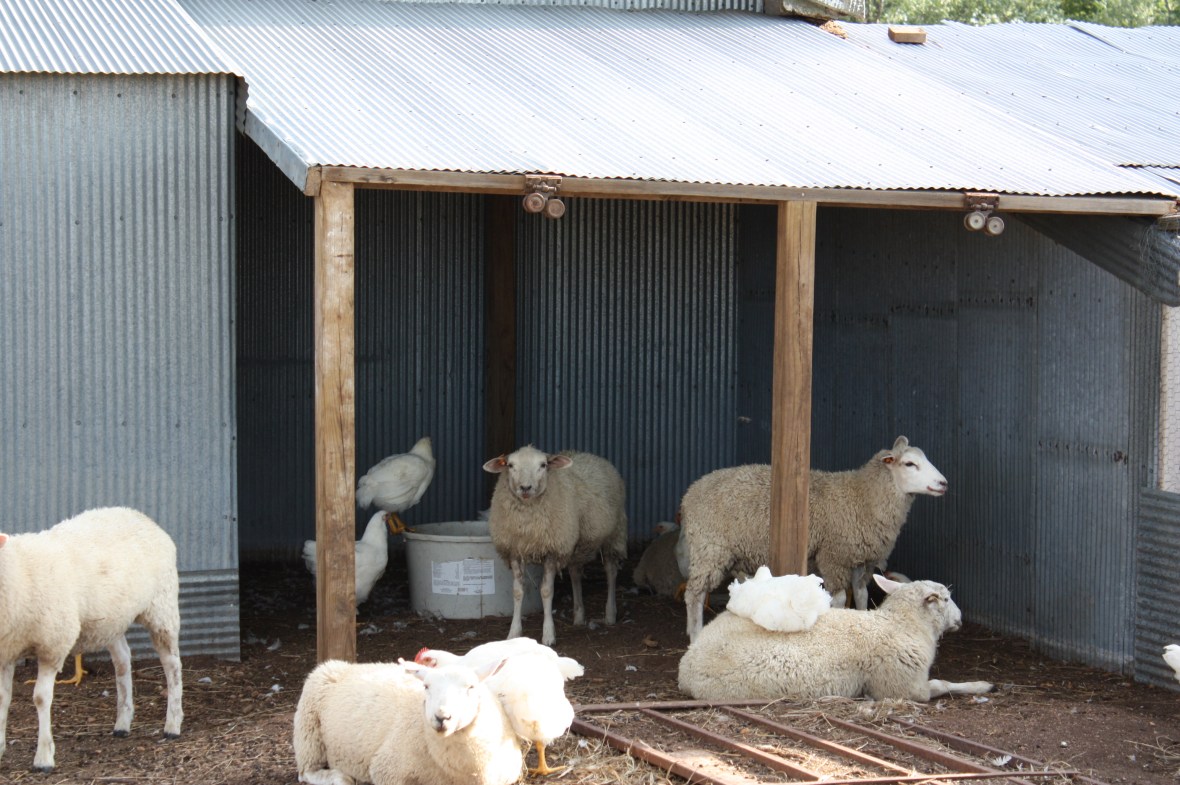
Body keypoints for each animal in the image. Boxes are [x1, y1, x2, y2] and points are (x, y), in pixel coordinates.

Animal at [0, 506, 183, 772]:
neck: (17, 573)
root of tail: (139, 515)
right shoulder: (6, 650)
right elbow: (3, 698)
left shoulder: (53, 645)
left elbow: (41, 698)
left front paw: (44, 757)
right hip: (111, 620)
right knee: (123, 660)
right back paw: (123, 722)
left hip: (161, 606)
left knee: (172, 664)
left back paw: (173, 724)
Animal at [293, 657, 523, 785]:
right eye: (426, 687)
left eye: (471, 687)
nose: (442, 717)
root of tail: (350, 665)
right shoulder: (386, 770)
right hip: (308, 732)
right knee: (306, 773)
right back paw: (341, 778)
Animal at [483, 445, 628, 646]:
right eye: (511, 465)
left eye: (543, 465)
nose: (525, 488)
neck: (528, 521)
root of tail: (591, 455)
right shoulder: (515, 550)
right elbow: (518, 591)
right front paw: (513, 633)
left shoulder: (552, 549)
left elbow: (546, 591)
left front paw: (548, 635)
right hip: (574, 543)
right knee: (575, 572)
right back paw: (579, 615)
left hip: (614, 534)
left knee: (611, 571)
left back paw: (610, 614)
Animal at [678, 574, 993, 702]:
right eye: (947, 598)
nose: (960, 618)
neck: (900, 625)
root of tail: (686, 665)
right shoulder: (902, 686)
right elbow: (942, 684)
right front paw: (982, 685)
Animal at [680, 436, 946, 641]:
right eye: (910, 464)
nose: (943, 483)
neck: (863, 497)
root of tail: (692, 490)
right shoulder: (833, 557)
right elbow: (839, 598)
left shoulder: (861, 559)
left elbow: (861, 595)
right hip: (709, 547)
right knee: (694, 594)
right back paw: (695, 635)